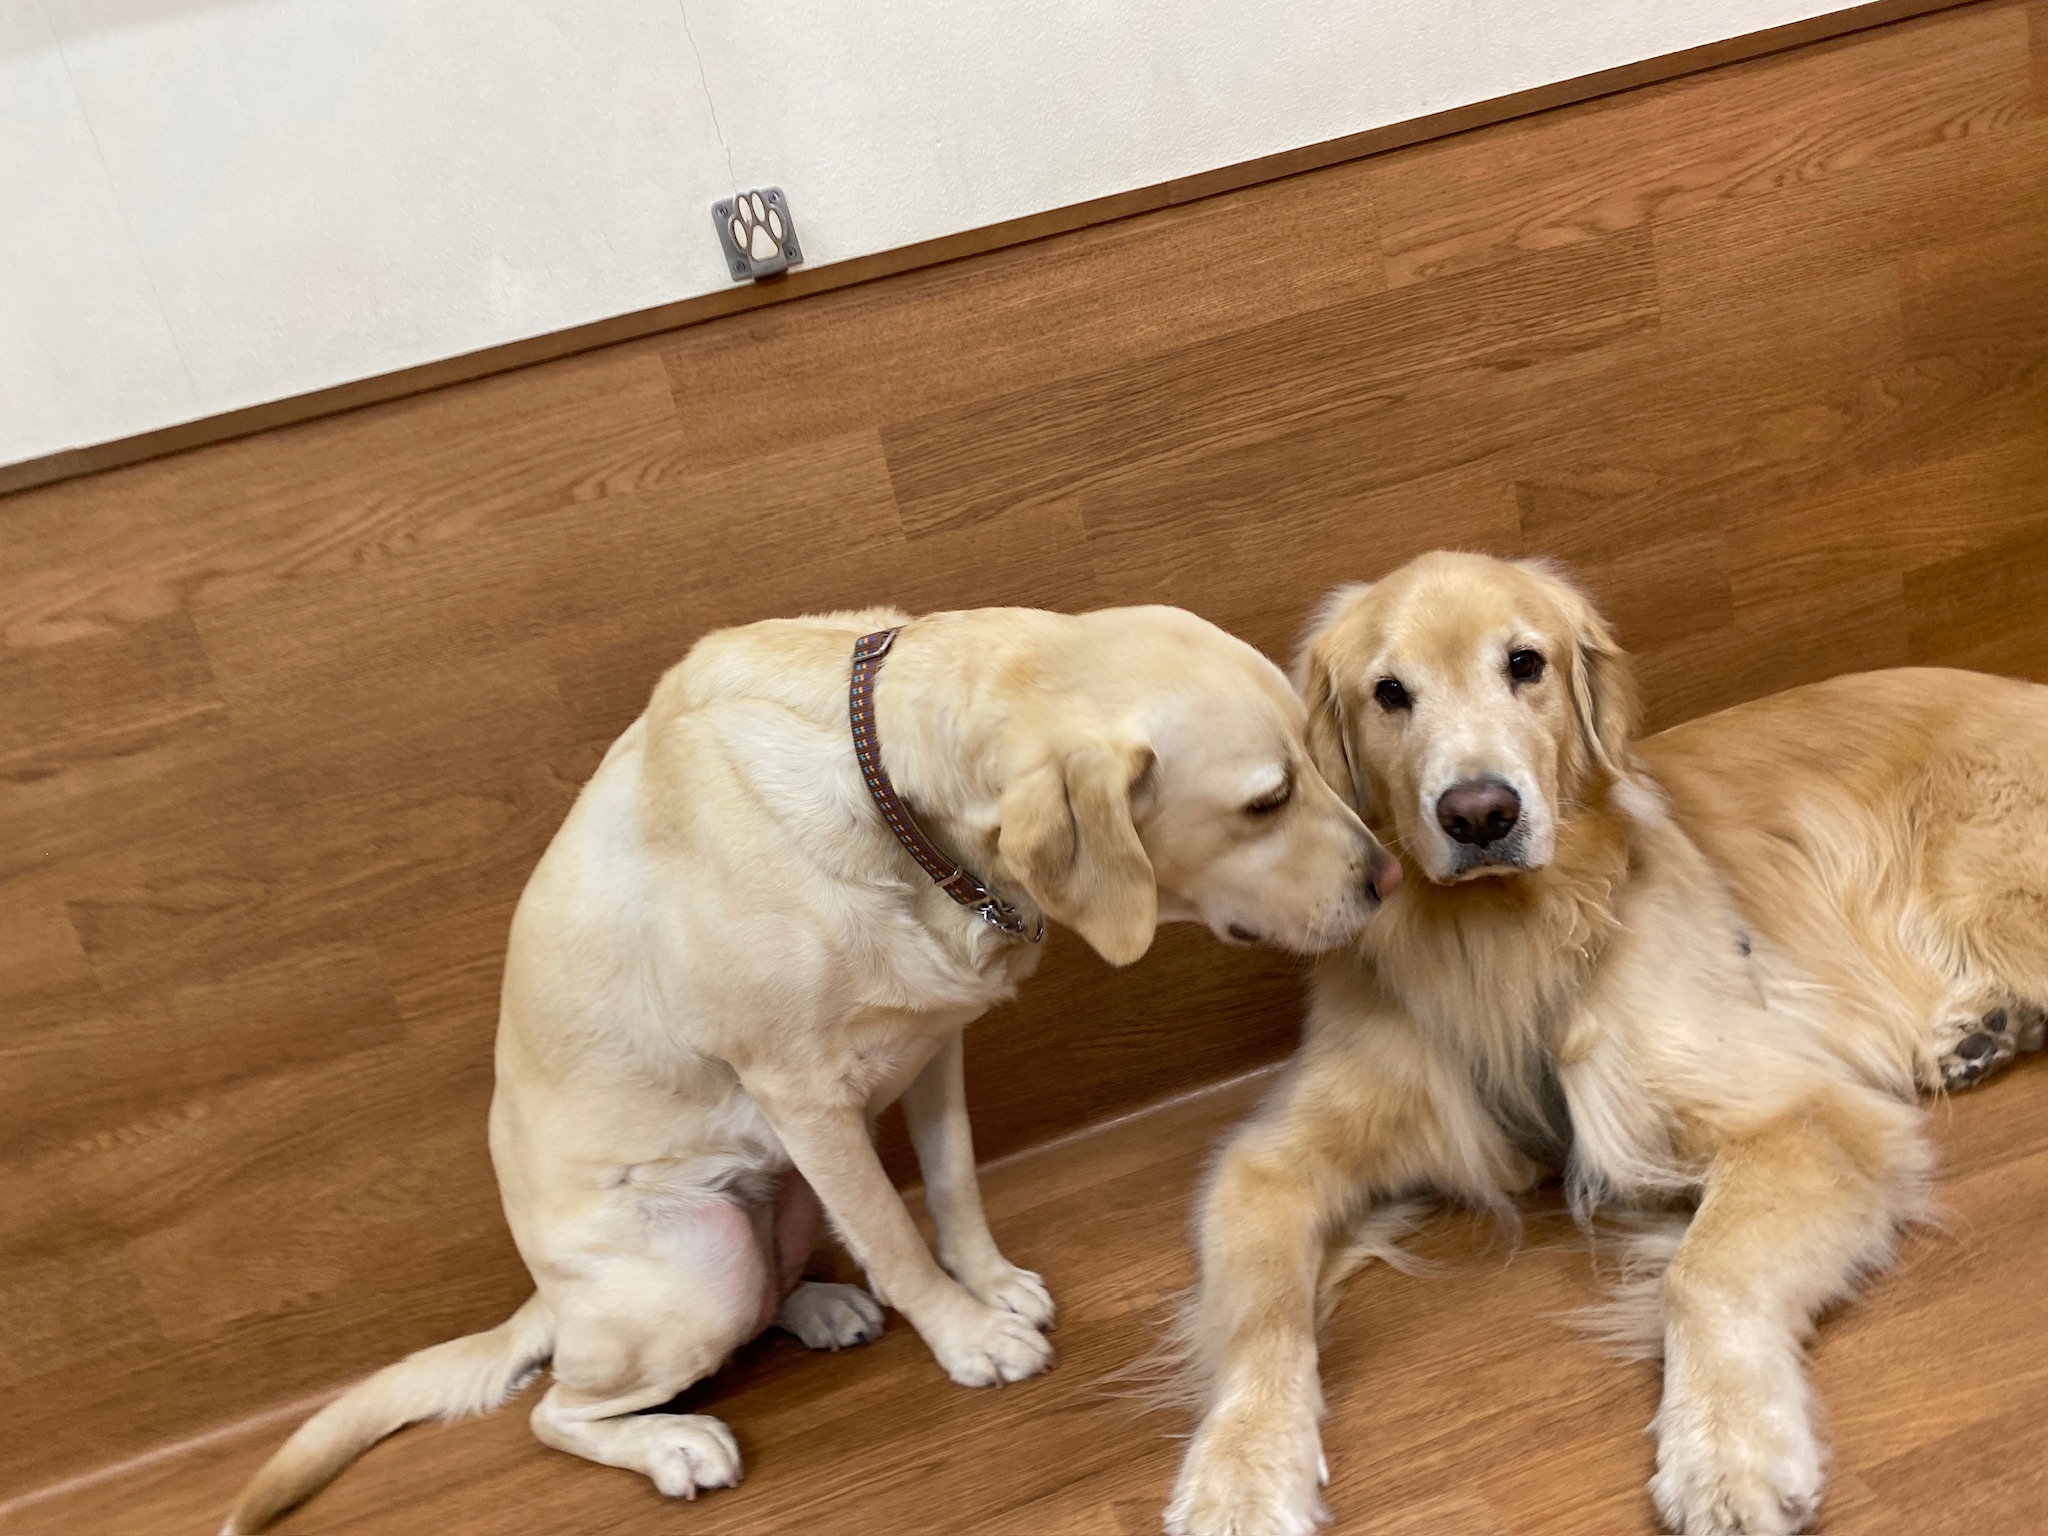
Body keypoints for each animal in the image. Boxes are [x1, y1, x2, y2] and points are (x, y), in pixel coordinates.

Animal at [223, 602, 1399, 1532]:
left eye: (1312, 756)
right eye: (1265, 799)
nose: (1389, 875)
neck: (892, 799)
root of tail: (548, 1300)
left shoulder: (935, 1042)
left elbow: (951, 1186)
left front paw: (988, 1282)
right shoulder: (803, 1096)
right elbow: (892, 1231)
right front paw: (969, 1335)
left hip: (769, 1211)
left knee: (757, 1299)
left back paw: (821, 1308)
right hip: (693, 1265)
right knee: (561, 1409)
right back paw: (674, 1441)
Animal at [1166, 552, 2048, 1536]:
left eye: (1525, 664)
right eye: (1388, 693)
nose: (1480, 813)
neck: (1502, 938)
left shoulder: (1800, 1114)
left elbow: (1702, 1273)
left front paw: (1726, 1451)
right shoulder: (1271, 1161)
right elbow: (1261, 1316)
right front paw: (1241, 1472)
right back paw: (1977, 1031)